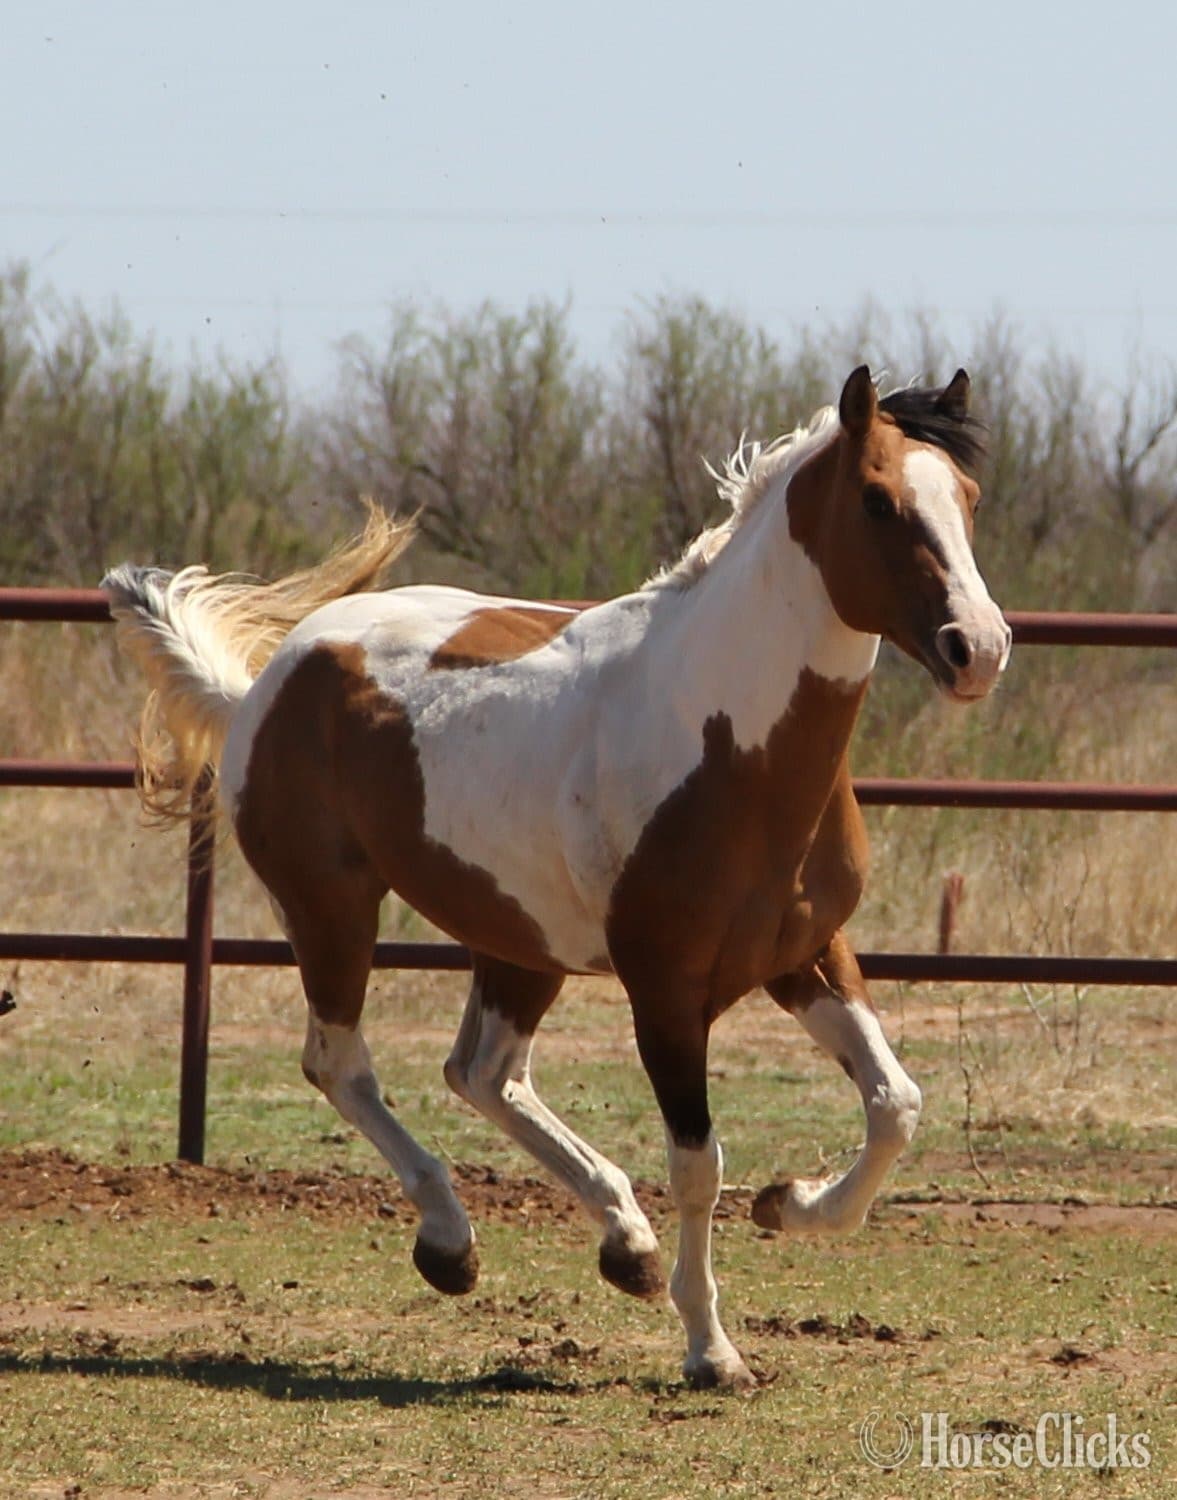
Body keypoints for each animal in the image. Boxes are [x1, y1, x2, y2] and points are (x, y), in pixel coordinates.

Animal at [103, 365, 1010, 1389]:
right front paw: (711, 1349)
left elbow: (895, 1104)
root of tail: (270, 678)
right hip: (330, 908)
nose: (978, 647)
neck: (722, 734)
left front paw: (791, 1203)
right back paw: (451, 1243)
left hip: (516, 940)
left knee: (482, 1072)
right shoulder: (665, 989)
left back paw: (624, 1243)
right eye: (877, 500)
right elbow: (698, 1163)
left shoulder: (805, 953)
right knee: (343, 1063)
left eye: (969, 498)